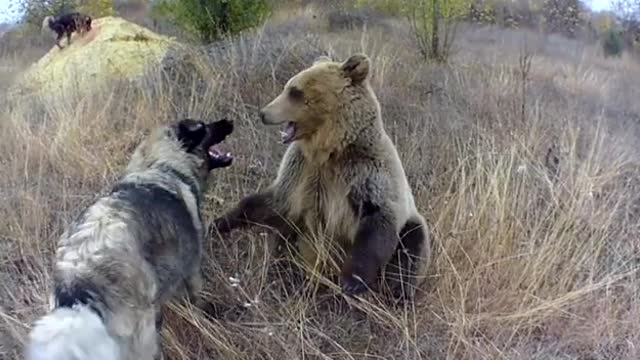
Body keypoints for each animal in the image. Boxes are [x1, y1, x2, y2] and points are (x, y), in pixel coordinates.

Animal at [215, 52, 430, 300]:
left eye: (295, 92)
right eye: (289, 86)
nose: (263, 113)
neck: (330, 149)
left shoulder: (367, 171)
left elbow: (378, 220)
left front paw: (352, 281)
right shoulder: (301, 168)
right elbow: (273, 202)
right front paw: (220, 222)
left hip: (411, 232)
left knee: (411, 246)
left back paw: (399, 294)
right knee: (285, 238)